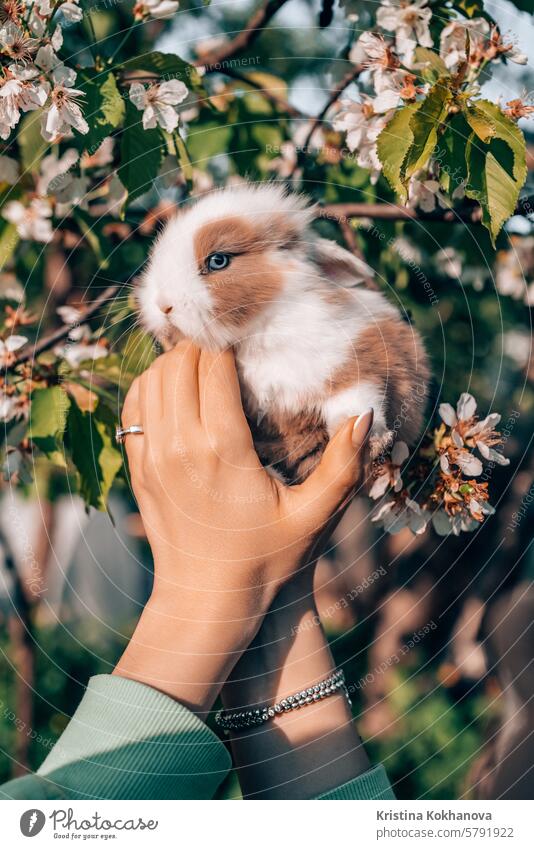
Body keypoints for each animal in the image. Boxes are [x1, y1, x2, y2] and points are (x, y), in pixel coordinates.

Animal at [139, 181, 432, 480]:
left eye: (218, 261)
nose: (162, 305)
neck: (258, 331)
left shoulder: (354, 358)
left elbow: (356, 397)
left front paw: (370, 440)